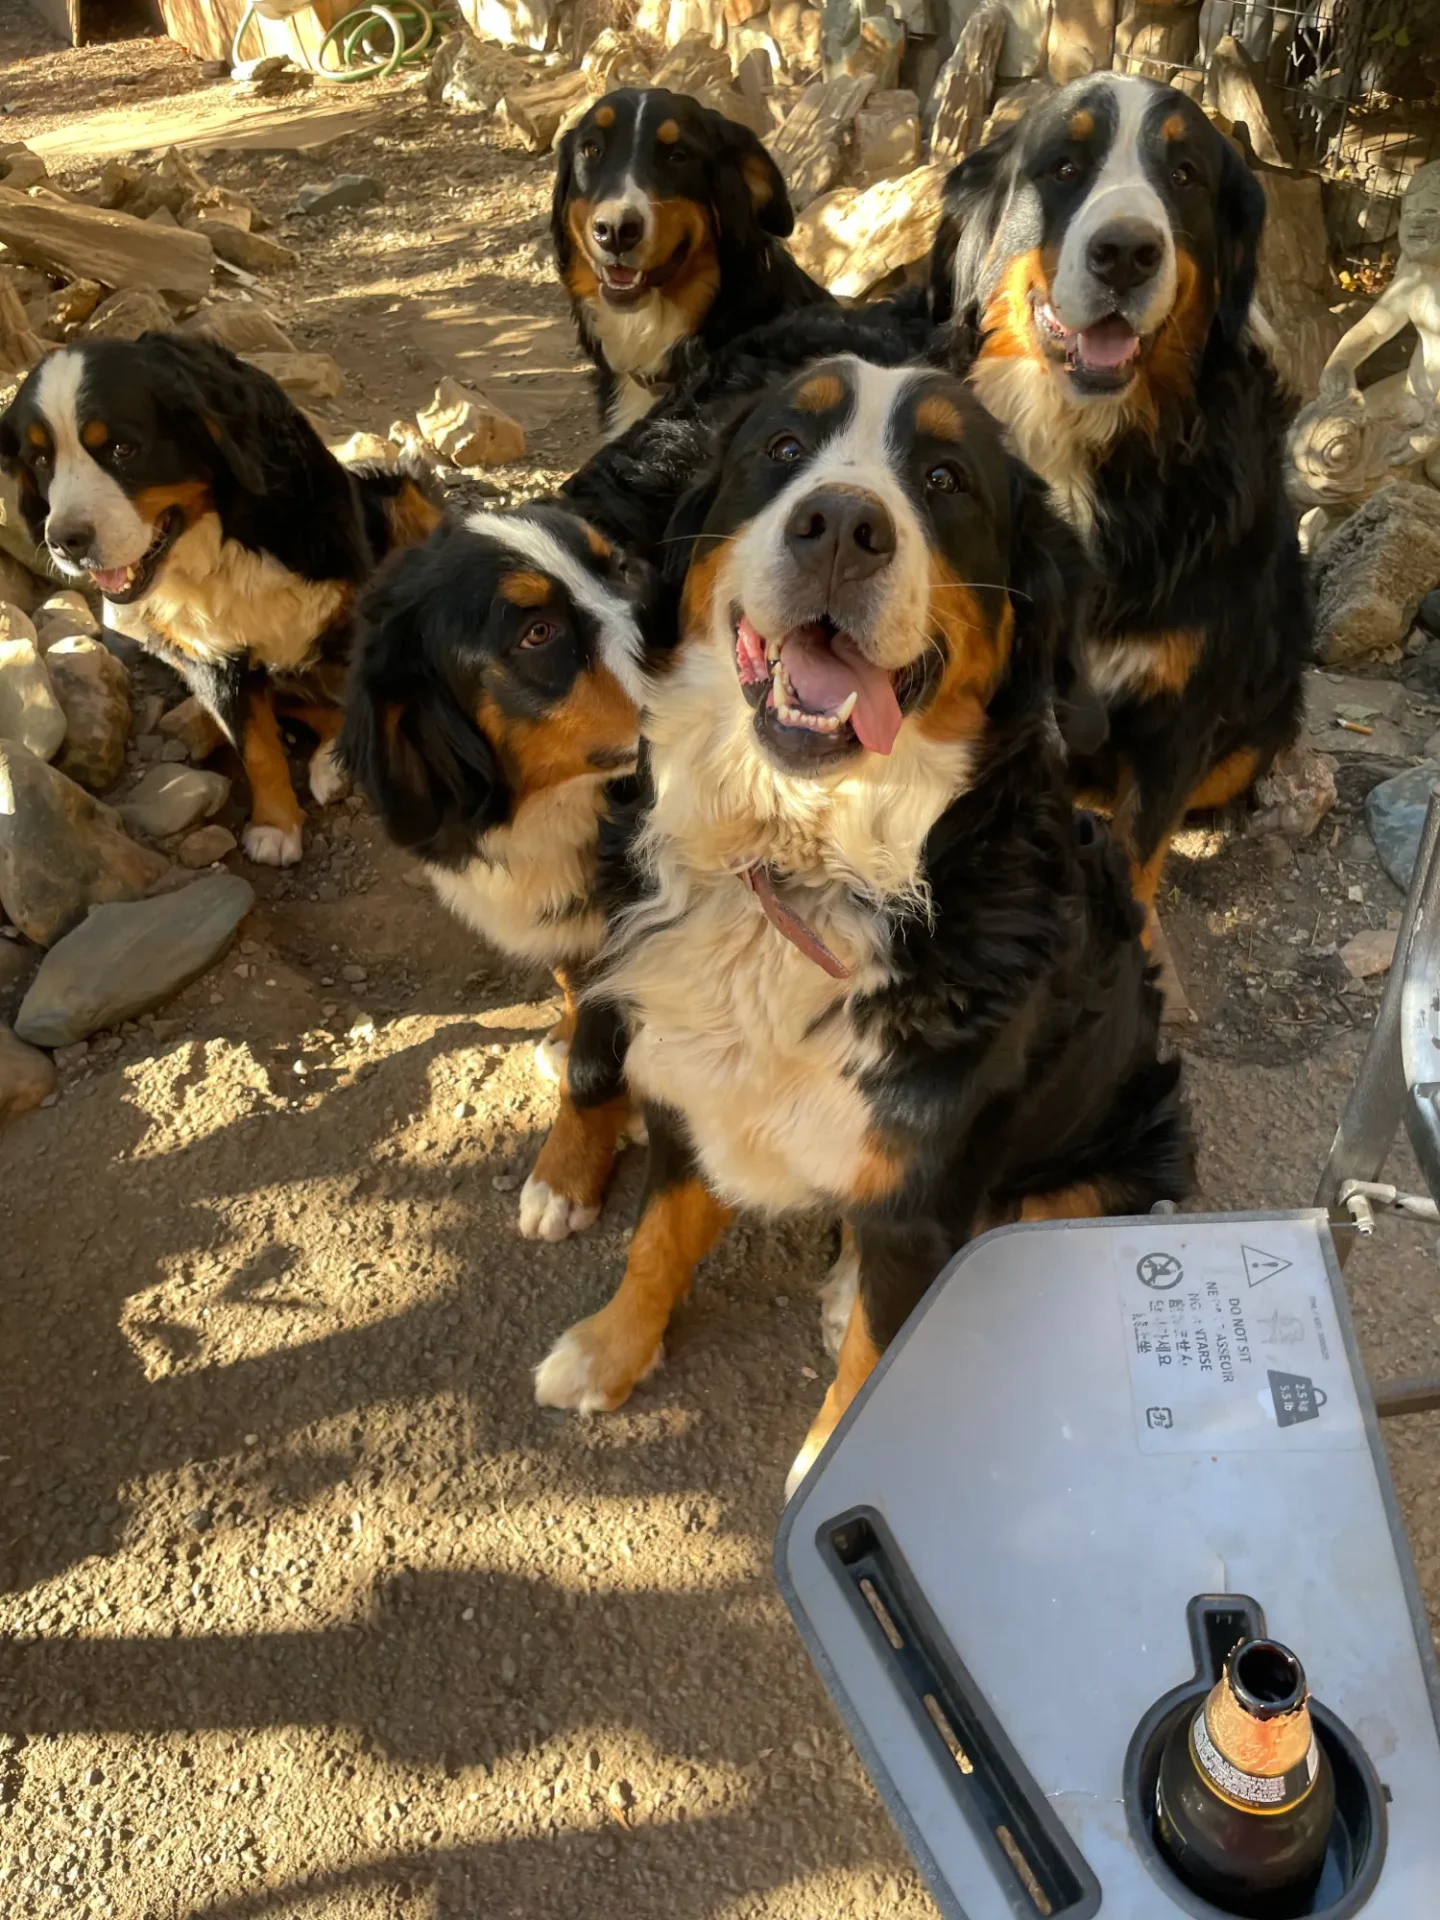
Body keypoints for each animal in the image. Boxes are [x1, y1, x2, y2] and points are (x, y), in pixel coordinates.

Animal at [0, 336, 439, 864]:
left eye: (123, 449)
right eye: (41, 460)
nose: (65, 541)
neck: (222, 541)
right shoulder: (209, 657)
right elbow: (254, 745)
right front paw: (275, 825)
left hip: (395, 489)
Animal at [337, 503, 660, 1236]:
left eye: (623, 569)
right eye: (538, 633)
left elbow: (593, 1070)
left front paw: (564, 1178)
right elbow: (572, 982)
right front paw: (568, 1032)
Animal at [529, 362, 1198, 1497]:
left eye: (944, 479)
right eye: (783, 447)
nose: (841, 525)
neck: (802, 866)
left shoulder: (928, 1193)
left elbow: (875, 1350)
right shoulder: (683, 1090)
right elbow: (655, 1239)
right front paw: (612, 1348)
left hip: (1129, 1143)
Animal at [929, 72, 1313, 936]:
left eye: (1186, 176)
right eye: (1064, 167)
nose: (1127, 253)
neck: (1087, 444)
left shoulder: (1180, 714)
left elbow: (1137, 856)